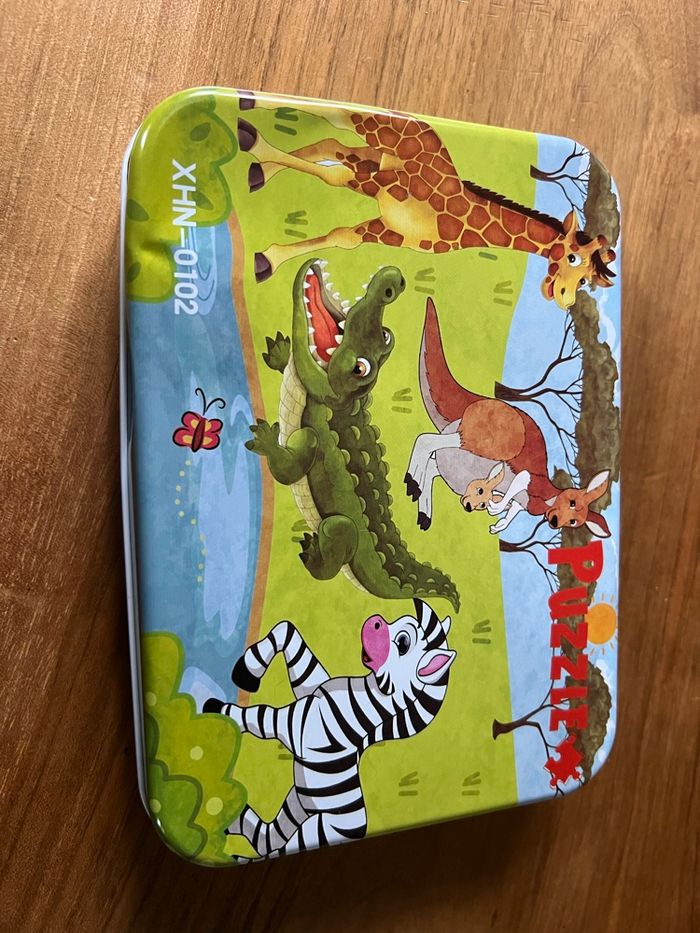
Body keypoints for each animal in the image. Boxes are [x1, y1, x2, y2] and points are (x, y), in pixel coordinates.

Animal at [203, 598, 456, 862]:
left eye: (404, 642)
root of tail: (358, 829)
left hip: (314, 827)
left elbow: (259, 715)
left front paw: (217, 710)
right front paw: (247, 672)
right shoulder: (308, 685)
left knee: (273, 846)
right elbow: (287, 632)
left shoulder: (294, 725)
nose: (374, 621)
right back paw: (230, 820)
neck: (364, 697)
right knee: (267, 837)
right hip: (297, 801)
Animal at [236, 93, 616, 310]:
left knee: (330, 142)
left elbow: (342, 237)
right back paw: (247, 109)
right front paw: (255, 144)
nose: (564, 297)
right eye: (572, 258)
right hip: (373, 140)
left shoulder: (390, 230)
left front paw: (265, 260)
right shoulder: (382, 185)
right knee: (336, 121)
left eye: (585, 282)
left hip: (371, 155)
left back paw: (258, 168)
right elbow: (332, 179)